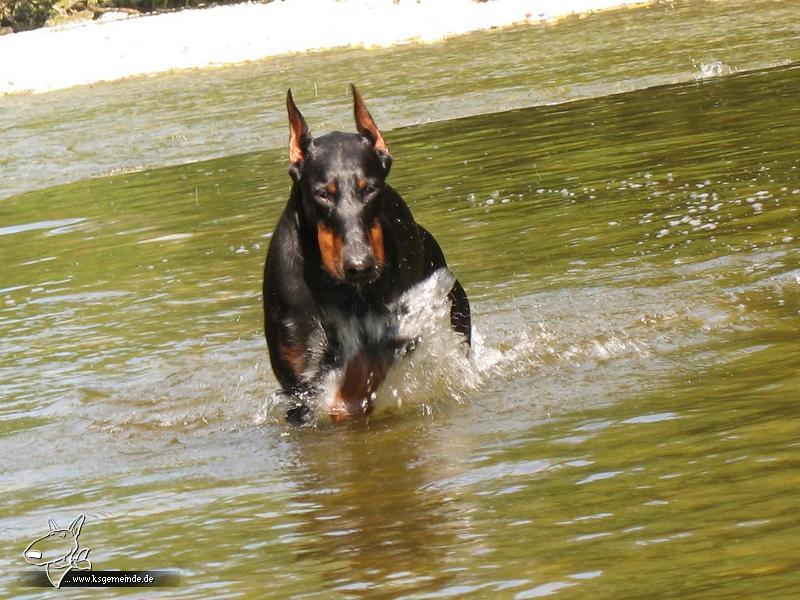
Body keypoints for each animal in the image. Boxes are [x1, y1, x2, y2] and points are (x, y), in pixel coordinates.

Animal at [262, 85, 468, 422]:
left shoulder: (397, 331)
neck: (335, 288)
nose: (360, 266)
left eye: (369, 188)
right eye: (323, 193)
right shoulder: (299, 379)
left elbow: (363, 372)